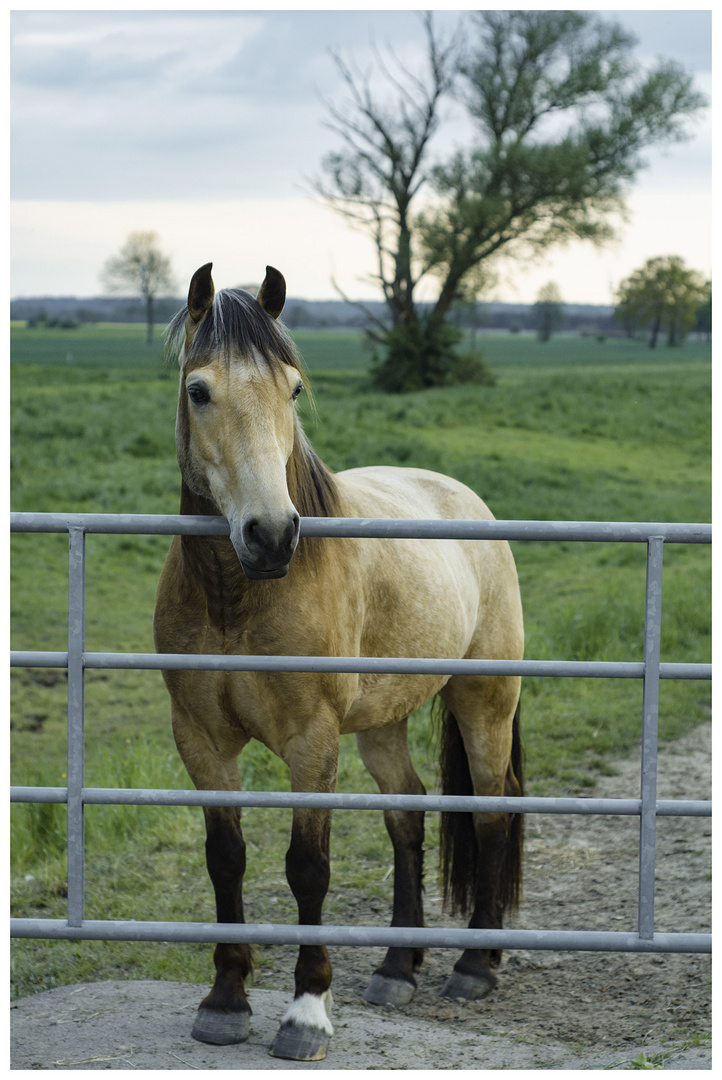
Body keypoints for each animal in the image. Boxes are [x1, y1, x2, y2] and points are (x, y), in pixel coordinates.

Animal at [153, 263, 524, 1062]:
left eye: (293, 389)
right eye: (199, 391)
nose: (270, 534)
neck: (239, 595)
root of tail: (465, 498)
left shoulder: (311, 744)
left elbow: (307, 868)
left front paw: (305, 1013)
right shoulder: (201, 740)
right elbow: (225, 856)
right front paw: (225, 1000)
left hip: (484, 701)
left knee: (488, 814)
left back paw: (475, 965)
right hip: (383, 722)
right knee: (408, 814)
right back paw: (397, 967)